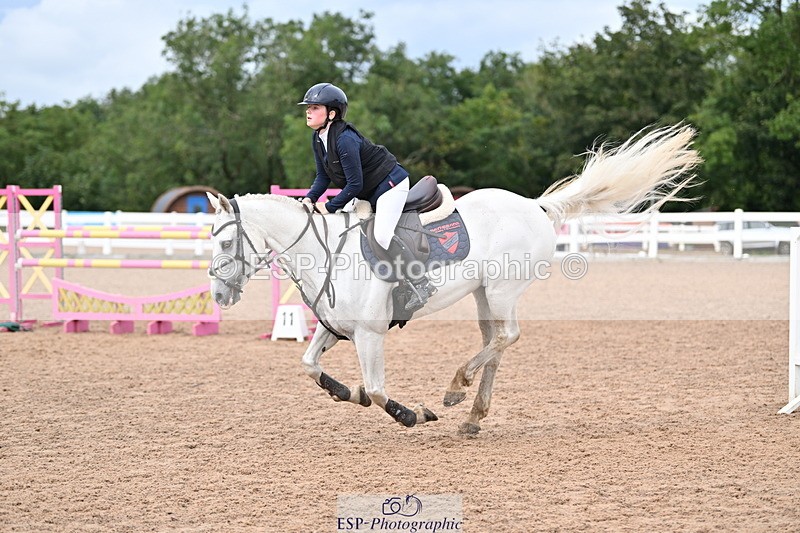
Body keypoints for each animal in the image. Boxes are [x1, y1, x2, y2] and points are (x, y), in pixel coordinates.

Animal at [206, 124, 701, 434]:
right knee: (495, 343)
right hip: (483, 294)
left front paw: (413, 415)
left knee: (507, 336)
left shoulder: (369, 334)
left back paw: (455, 389)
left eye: (227, 242)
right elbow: (311, 366)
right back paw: (472, 415)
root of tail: (534, 205)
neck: (327, 253)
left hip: (502, 289)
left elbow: (380, 391)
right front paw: (347, 392)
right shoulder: (335, 329)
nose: (218, 295)